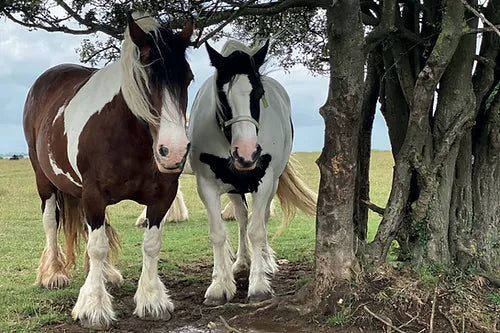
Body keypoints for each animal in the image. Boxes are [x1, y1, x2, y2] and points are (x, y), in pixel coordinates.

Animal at [23, 12, 193, 326]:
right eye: (143, 79)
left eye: (188, 78)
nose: (173, 151)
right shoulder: (93, 194)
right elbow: (97, 246)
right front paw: (93, 306)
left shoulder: (162, 195)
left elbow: (150, 243)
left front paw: (152, 299)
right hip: (45, 181)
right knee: (51, 222)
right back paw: (54, 273)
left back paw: (104, 273)